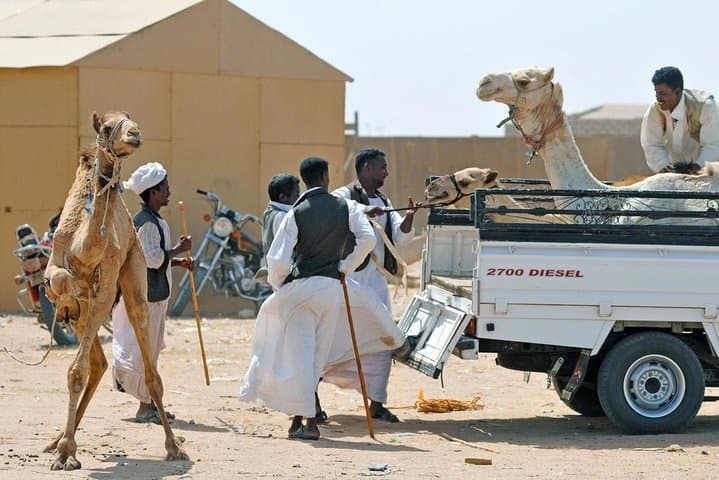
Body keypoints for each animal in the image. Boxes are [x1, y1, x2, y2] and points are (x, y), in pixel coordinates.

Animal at [43, 111, 188, 470]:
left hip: (135, 270)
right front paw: (65, 450)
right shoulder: (59, 266)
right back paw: (56, 440)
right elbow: (60, 283)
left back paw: (174, 446)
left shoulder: (106, 288)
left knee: (149, 370)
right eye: (108, 127)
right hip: (84, 313)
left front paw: (67, 453)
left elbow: (76, 370)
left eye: (131, 121)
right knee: (97, 363)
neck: (84, 248)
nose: (134, 134)